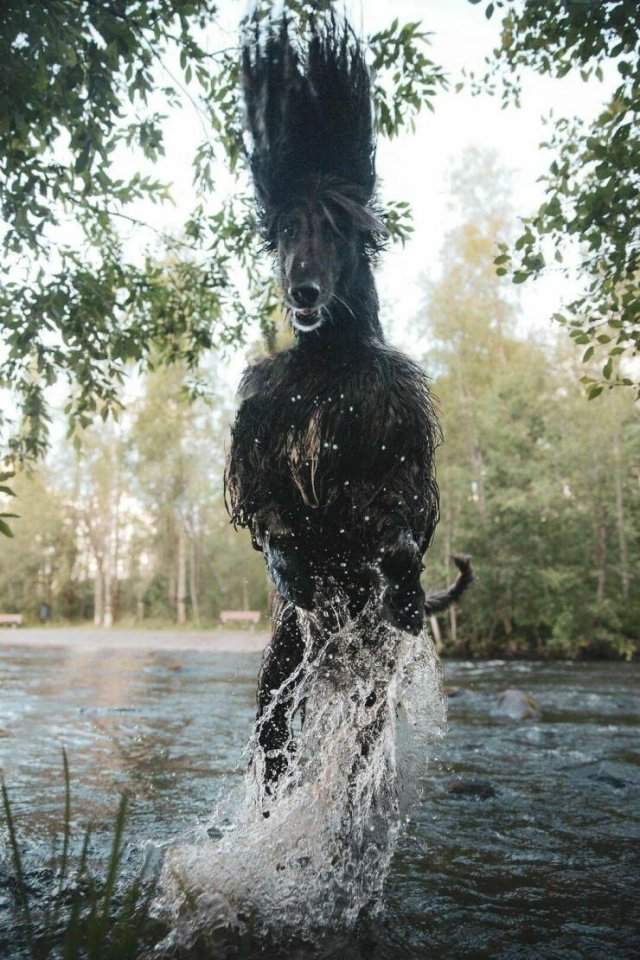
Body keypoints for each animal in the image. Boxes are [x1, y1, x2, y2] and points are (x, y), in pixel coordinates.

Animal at [225, 18, 470, 792]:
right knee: (276, 745)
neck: (329, 362)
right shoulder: (260, 428)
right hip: (284, 665)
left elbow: (401, 520)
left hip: (365, 677)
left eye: (336, 228)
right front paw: (291, 563)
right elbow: (271, 513)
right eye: (284, 231)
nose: (302, 290)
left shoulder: (401, 440)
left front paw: (400, 576)